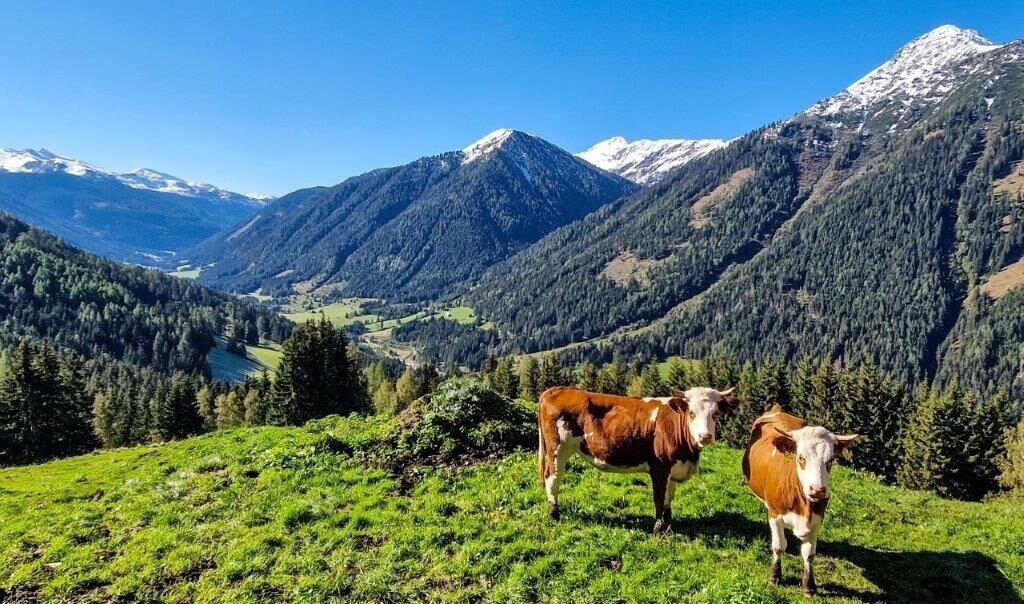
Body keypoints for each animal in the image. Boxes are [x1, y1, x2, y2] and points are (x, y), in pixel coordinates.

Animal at [538, 385, 739, 533]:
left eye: (716, 414)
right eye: (691, 413)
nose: (705, 436)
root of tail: (557, 389)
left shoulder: (673, 469)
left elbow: (669, 498)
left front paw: (668, 524)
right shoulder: (659, 468)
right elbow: (659, 498)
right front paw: (658, 529)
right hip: (558, 448)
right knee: (552, 478)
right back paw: (554, 514)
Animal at [742, 404, 857, 597]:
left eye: (830, 460)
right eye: (801, 457)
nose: (817, 490)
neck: (804, 506)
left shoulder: (817, 520)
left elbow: (809, 553)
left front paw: (809, 586)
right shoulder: (775, 514)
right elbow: (779, 546)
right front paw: (774, 577)